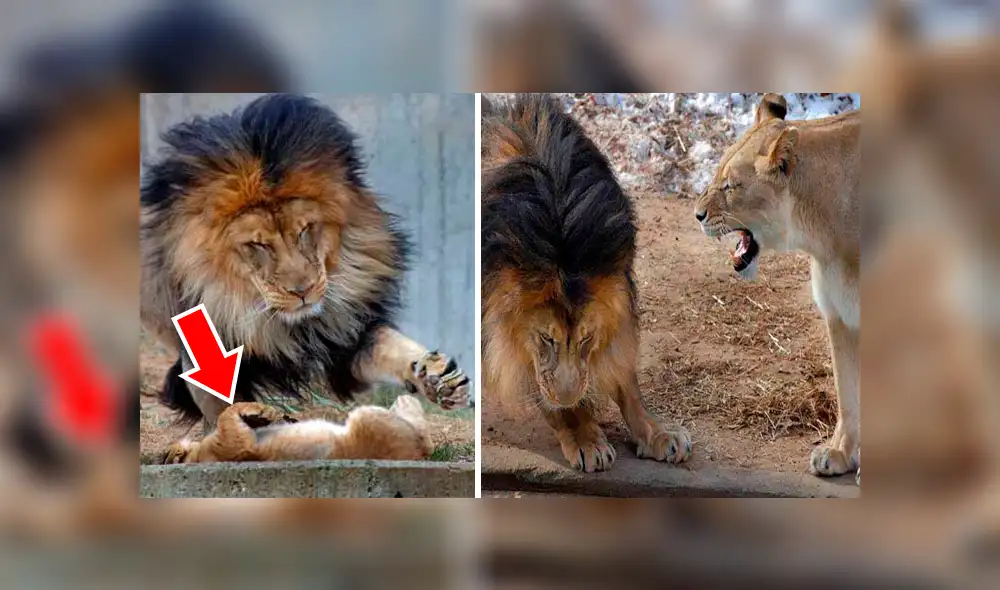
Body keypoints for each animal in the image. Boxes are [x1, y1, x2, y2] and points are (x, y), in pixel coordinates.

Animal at [141, 94, 470, 429]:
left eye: (305, 230)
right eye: (258, 244)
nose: (302, 292)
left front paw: (437, 376)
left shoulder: (346, 335)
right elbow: (223, 405)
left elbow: (392, 346)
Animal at [162, 394, 432, 464]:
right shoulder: (234, 446)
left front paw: (266, 415)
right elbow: (225, 415)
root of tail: (415, 455)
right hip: (365, 416)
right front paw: (260, 412)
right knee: (424, 437)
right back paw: (407, 400)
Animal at [481, 94, 691, 473]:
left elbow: (625, 377)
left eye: (587, 338)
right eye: (546, 338)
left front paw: (658, 433)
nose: (569, 397)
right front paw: (585, 436)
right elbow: (545, 390)